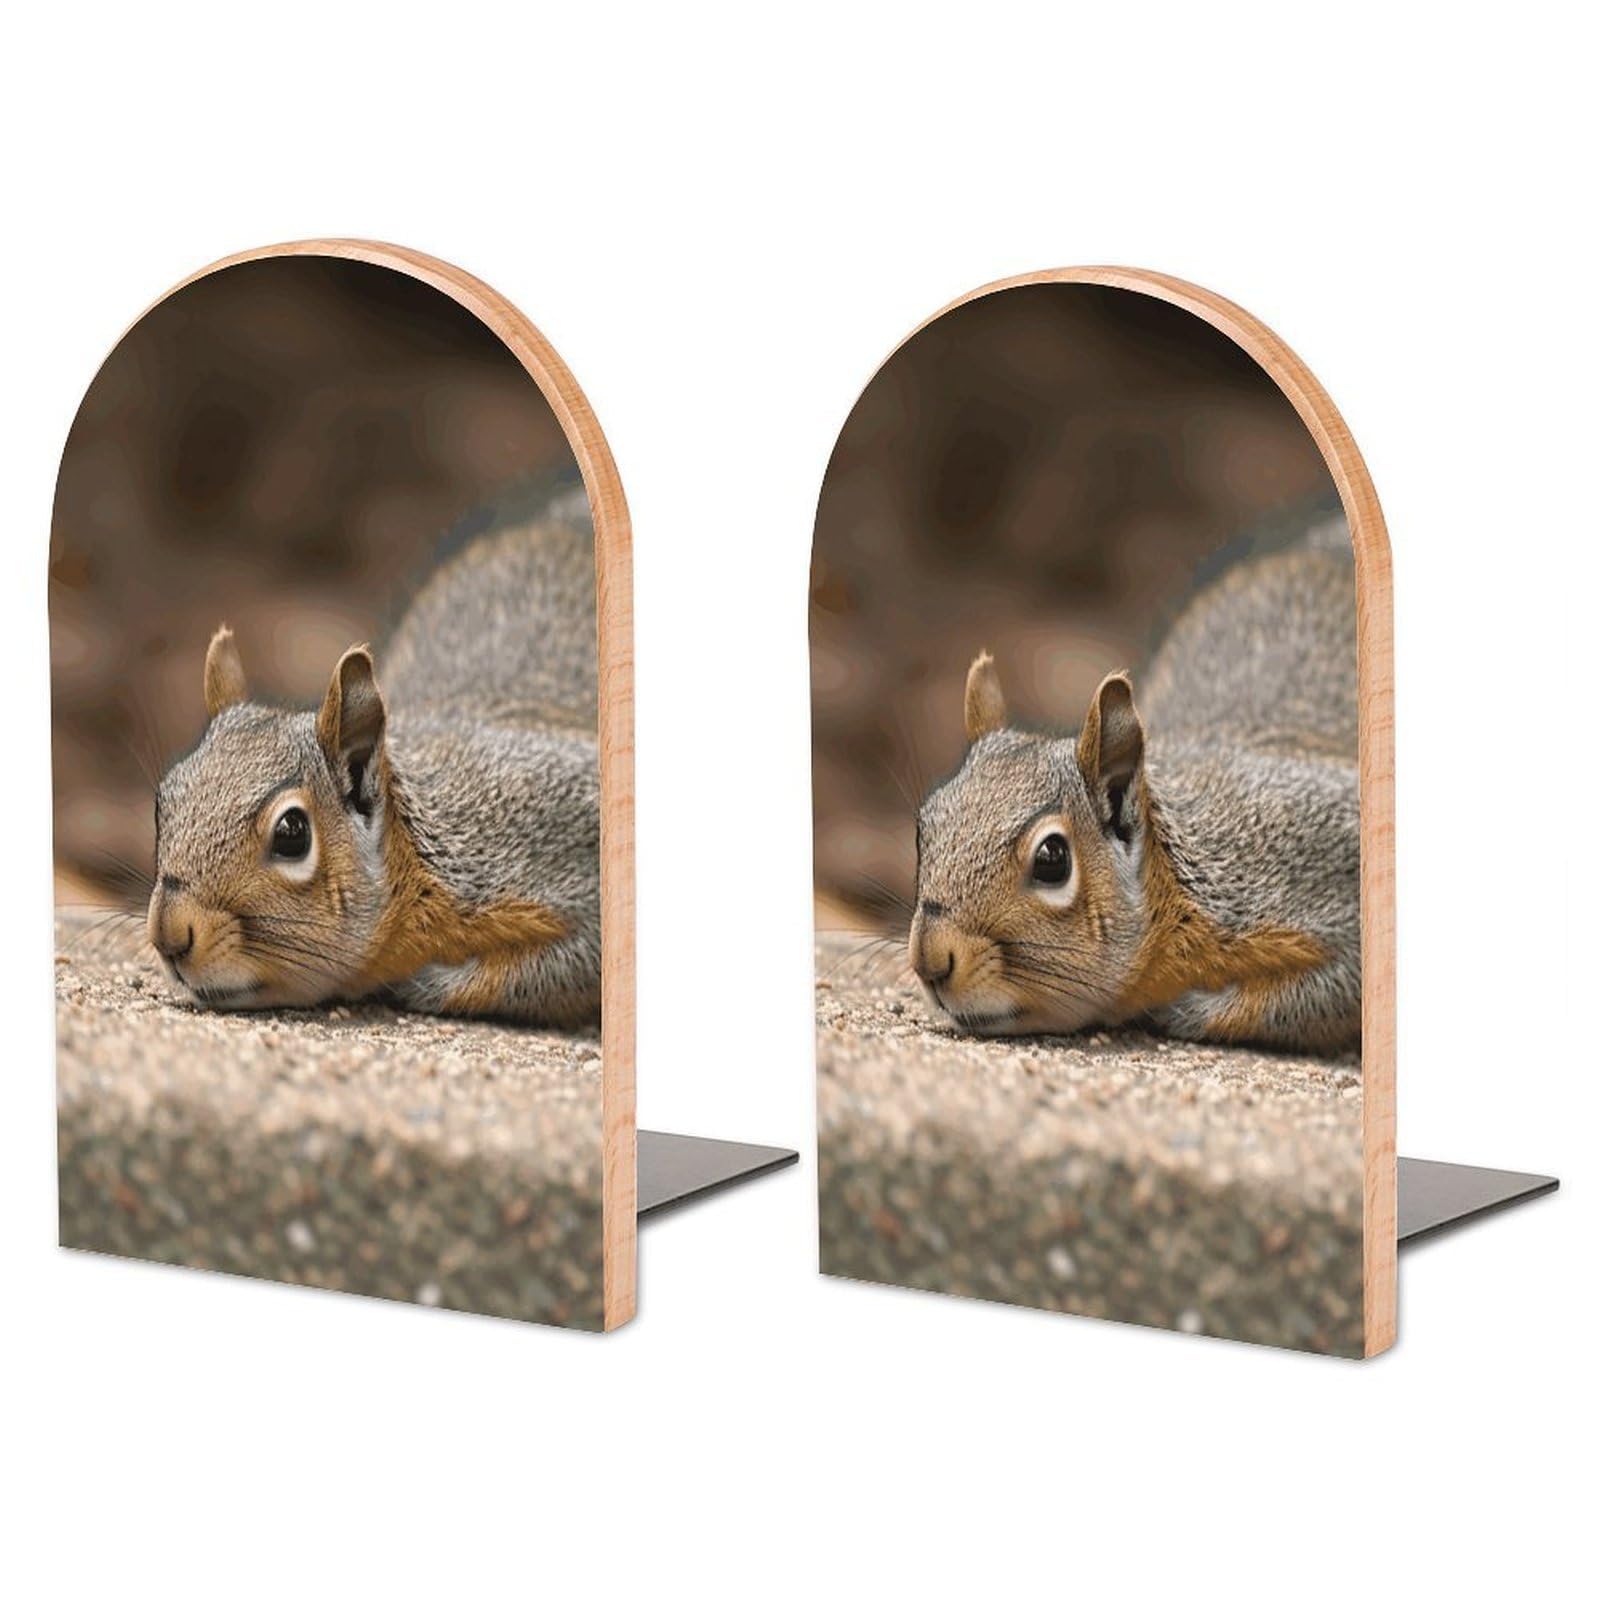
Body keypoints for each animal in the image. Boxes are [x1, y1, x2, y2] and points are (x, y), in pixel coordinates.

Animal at [144, 473, 602, 1028]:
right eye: (161, 804)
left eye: (293, 834)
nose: (168, 934)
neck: (423, 867)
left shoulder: (562, 838)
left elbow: (570, 964)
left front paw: (426, 983)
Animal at [909, 512, 1360, 1055]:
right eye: (923, 830)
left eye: (1052, 860)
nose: (929, 960)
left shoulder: (1319, 861)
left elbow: (1333, 991)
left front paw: (1186, 1009)